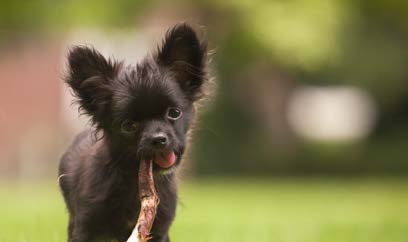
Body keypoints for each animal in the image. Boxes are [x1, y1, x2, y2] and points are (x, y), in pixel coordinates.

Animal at [58, 24, 207, 242]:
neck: (132, 180)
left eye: (174, 113)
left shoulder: (159, 229)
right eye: (128, 125)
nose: (158, 139)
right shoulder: (85, 226)